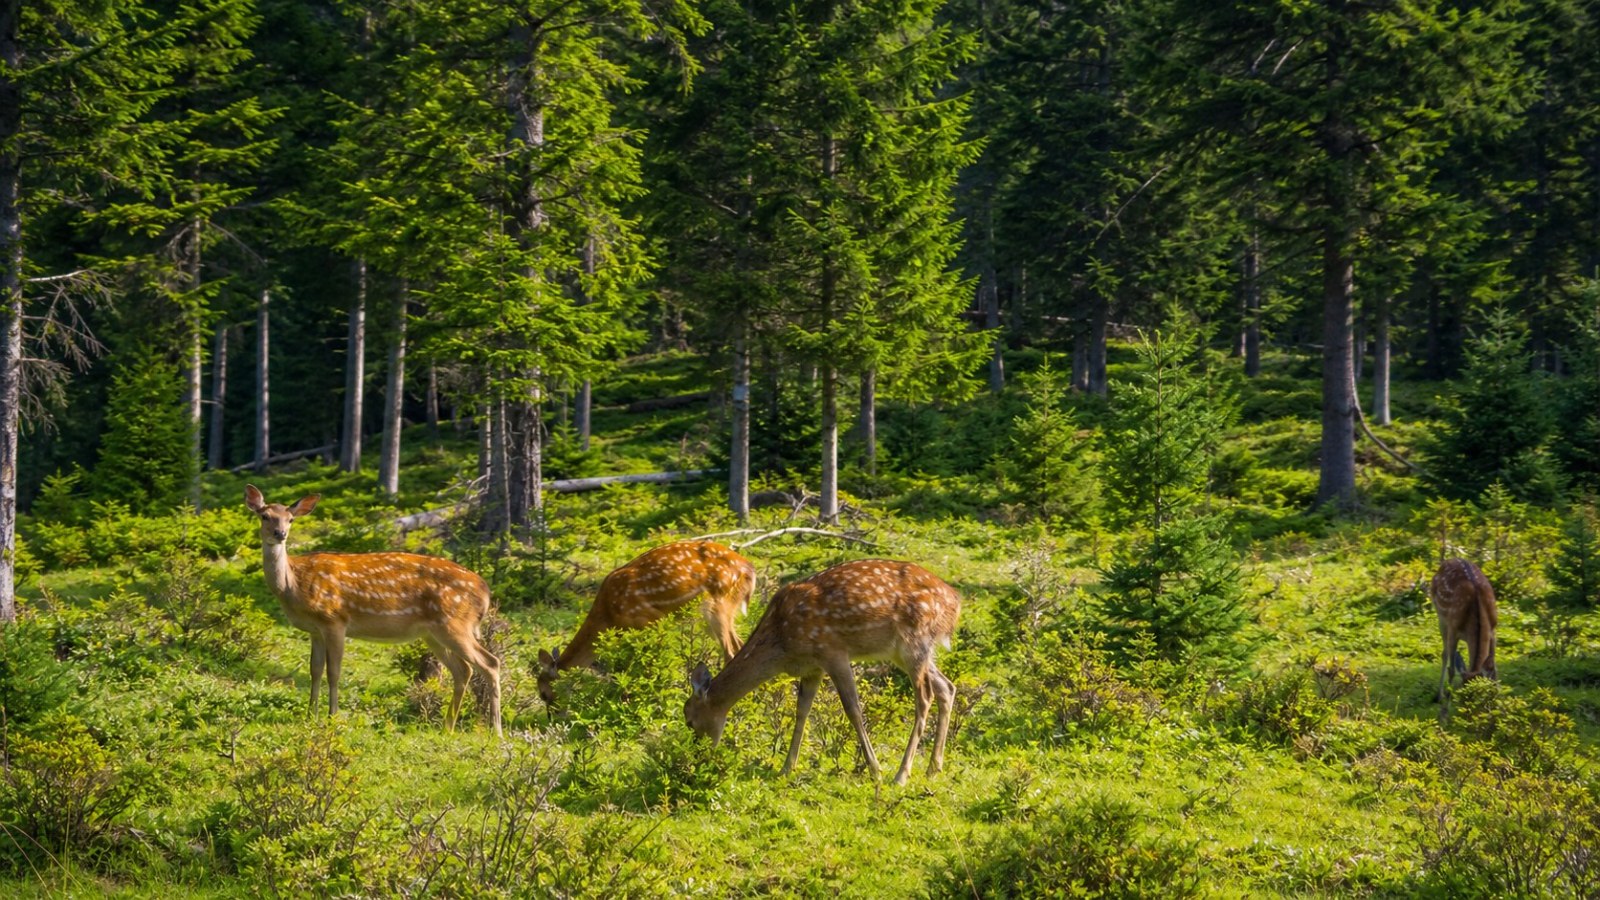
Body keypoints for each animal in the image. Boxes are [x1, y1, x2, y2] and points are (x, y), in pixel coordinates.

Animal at [244, 485, 502, 736]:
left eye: (290, 519)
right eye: (265, 516)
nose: (280, 534)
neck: (293, 585)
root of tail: (486, 593)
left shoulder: (335, 620)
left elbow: (334, 672)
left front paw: (332, 718)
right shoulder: (314, 630)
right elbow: (315, 670)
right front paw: (310, 716)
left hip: (455, 623)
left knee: (490, 663)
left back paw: (495, 731)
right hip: (434, 634)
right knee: (463, 670)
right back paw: (447, 728)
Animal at [537, 540, 755, 706]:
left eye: (544, 694)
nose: (553, 718)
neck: (608, 615)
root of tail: (749, 568)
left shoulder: (649, 619)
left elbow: (650, 664)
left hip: (719, 603)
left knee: (730, 651)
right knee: (740, 645)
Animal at [684, 559, 961, 787]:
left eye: (690, 720)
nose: (696, 757)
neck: (782, 643)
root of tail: (955, 603)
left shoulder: (832, 651)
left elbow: (852, 709)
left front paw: (875, 770)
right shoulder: (812, 667)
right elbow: (802, 711)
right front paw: (787, 768)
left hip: (914, 640)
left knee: (925, 696)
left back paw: (902, 775)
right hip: (907, 651)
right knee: (946, 686)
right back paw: (934, 768)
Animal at [1430, 557, 1499, 723]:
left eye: (1481, 695)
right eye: (1462, 696)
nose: (1470, 719)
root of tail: (1451, 559)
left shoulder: (1493, 630)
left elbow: (1493, 667)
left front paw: (1498, 705)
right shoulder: (1453, 630)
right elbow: (1452, 670)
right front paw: (1444, 715)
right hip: (1441, 617)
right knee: (1444, 654)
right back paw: (1439, 695)